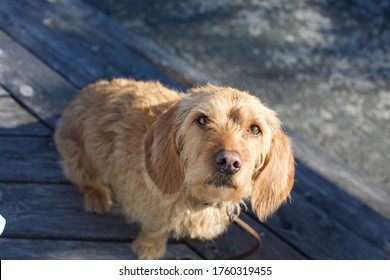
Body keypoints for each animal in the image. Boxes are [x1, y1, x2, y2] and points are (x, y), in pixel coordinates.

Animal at [54, 78, 292, 258]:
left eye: (255, 129)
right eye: (202, 120)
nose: (228, 162)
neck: (196, 196)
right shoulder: (151, 206)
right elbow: (157, 225)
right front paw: (150, 247)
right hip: (77, 158)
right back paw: (97, 195)